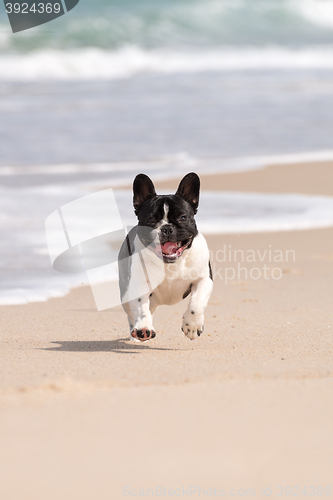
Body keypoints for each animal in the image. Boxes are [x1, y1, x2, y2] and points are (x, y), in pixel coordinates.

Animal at [118, 174, 213, 342]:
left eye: (183, 218)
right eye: (150, 220)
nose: (167, 228)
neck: (170, 263)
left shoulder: (204, 279)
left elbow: (196, 304)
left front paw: (192, 326)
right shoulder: (139, 284)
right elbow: (141, 308)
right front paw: (143, 328)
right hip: (126, 295)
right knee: (132, 314)